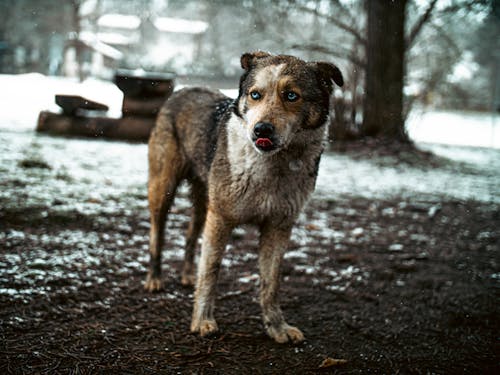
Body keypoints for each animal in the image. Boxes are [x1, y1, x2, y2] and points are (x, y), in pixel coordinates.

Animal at [145, 51, 344, 346]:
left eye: (291, 95)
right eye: (255, 94)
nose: (261, 130)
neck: (273, 166)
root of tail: (184, 89)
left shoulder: (279, 227)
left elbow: (271, 283)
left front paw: (277, 327)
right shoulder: (221, 220)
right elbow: (211, 271)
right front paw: (202, 321)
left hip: (204, 201)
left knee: (191, 234)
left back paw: (188, 275)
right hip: (163, 189)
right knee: (157, 233)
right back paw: (155, 278)